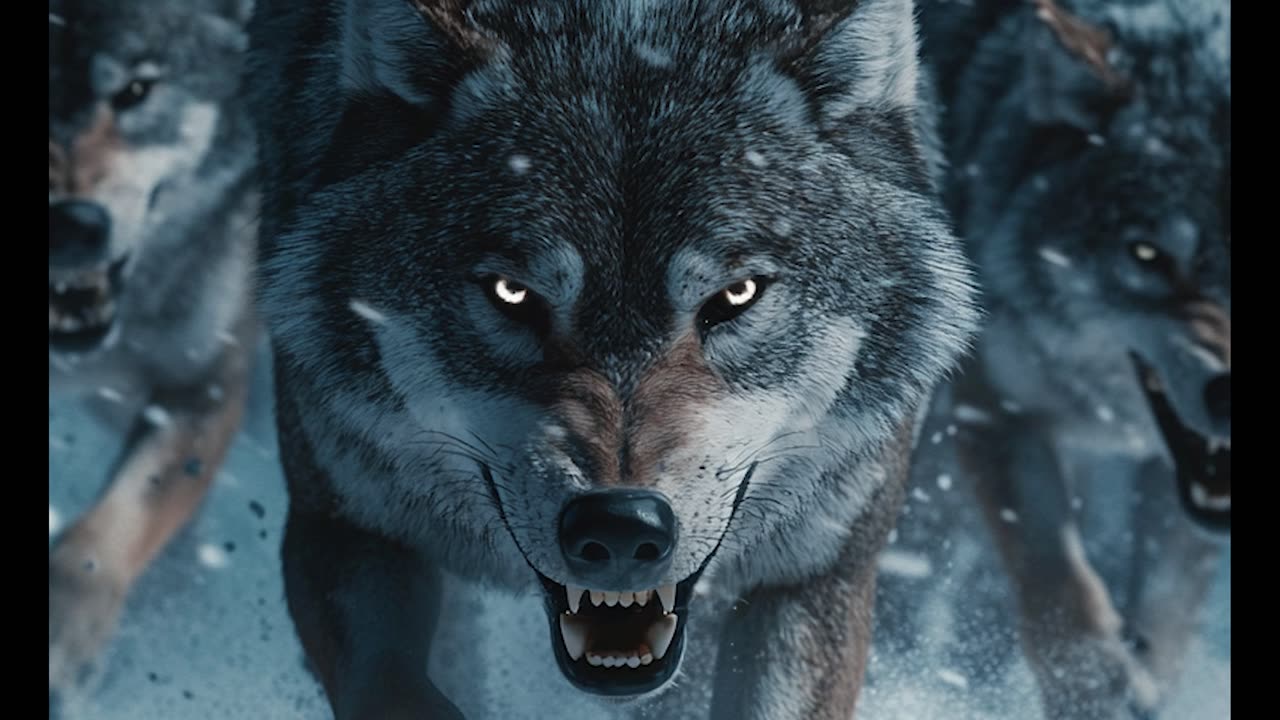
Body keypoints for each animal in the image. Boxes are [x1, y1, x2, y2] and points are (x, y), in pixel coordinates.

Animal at [246, 0, 978, 717]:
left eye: (735, 295)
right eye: (513, 294)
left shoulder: (819, 571)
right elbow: (393, 688)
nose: (621, 525)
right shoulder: (341, 526)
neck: (625, 24)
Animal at [916, 0, 1230, 717]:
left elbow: (1168, 602)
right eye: (1147, 255)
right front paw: (1095, 690)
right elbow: (1057, 579)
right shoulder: (993, 405)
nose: (1231, 396)